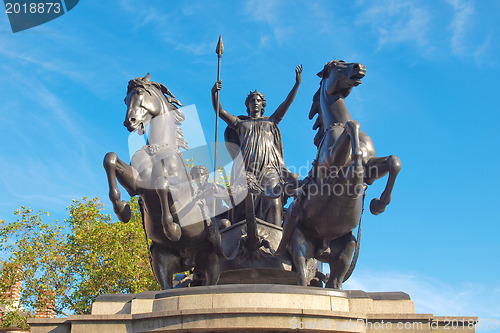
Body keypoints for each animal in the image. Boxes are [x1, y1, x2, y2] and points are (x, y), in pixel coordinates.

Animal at [103, 73, 229, 288]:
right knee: (165, 286)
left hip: (212, 261)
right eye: (125, 99)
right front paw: (122, 209)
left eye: (139, 92)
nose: (130, 121)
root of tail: (189, 261)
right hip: (161, 260)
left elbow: (162, 185)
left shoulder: (179, 191)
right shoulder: (136, 185)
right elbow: (110, 159)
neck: (157, 148)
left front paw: (172, 229)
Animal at [280, 59, 400, 288]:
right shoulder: (333, 160)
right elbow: (353, 126)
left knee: (335, 283)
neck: (335, 123)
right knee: (302, 277)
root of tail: (322, 248)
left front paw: (378, 205)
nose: (359, 67)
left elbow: (393, 162)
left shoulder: (372, 168)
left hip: (346, 249)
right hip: (299, 245)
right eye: (338, 66)